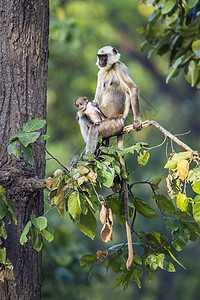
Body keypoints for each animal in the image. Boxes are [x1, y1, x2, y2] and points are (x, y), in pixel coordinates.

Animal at [76, 46, 142, 270]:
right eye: (100, 57)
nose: (101, 62)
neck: (110, 69)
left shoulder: (120, 67)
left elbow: (133, 89)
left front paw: (138, 121)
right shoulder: (99, 75)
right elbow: (94, 102)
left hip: (112, 124)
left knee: (96, 128)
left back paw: (89, 156)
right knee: (84, 118)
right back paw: (92, 152)